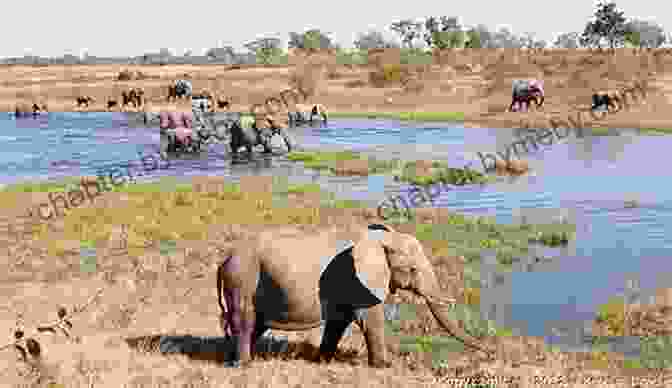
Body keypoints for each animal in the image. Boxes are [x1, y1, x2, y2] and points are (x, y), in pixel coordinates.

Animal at [217, 221, 494, 366]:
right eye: (413, 269)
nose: (491, 352)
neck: (381, 239)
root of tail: (224, 260)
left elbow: (340, 321)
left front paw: (323, 361)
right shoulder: (358, 281)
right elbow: (370, 319)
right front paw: (384, 367)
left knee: (255, 324)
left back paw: (232, 359)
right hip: (242, 280)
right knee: (245, 321)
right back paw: (243, 364)